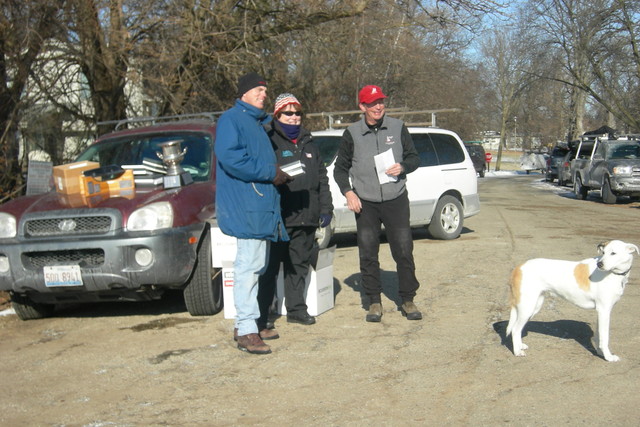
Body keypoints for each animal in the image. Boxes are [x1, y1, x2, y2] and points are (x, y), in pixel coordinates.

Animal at [508, 241, 636, 362]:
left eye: (613, 253)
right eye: (603, 253)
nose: (599, 264)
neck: (613, 274)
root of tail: (518, 267)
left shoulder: (601, 312)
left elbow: (599, 335)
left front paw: (600, 353)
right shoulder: (604, 311)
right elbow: (604, 337)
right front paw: (608, 357)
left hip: (533, 306)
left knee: (518, 328)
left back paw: (520, 346)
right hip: (527, 307)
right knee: (515, 329)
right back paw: (517, 352)